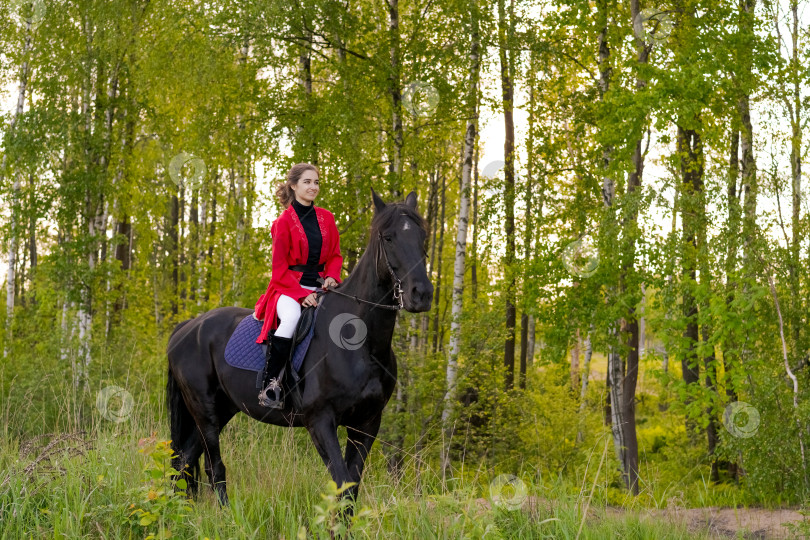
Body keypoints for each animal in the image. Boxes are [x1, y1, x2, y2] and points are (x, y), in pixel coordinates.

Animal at [161, 189, 432, 506]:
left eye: (422, 236)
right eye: (388, 238)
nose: (422, 294)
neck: (361, 343)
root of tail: (187, 327)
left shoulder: (366, 424)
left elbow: (351, 490)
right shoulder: (321, 421)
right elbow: (341, 484)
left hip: (223, 408)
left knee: (184, 461)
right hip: (204, 410)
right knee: (213, 466)